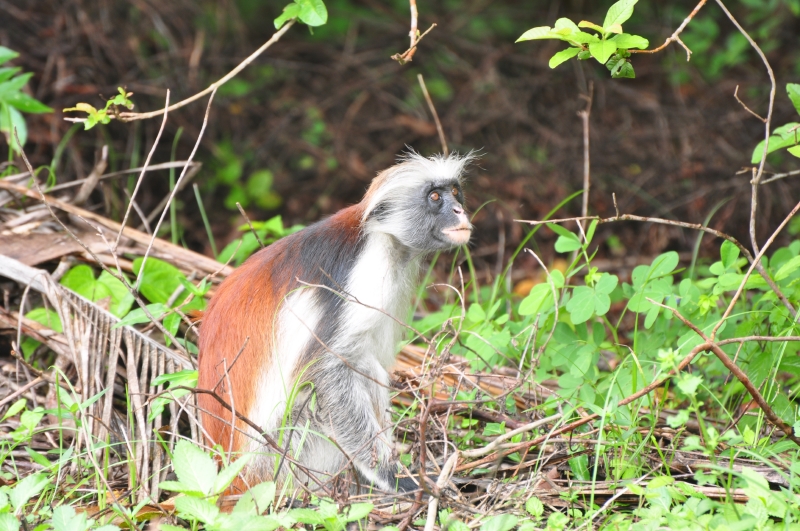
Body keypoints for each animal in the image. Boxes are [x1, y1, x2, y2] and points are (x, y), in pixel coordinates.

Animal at [197, 152, 473, 493]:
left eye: (455, 192)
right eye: (435, 197)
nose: (459, 210)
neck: (373, 231)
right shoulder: (367, 268)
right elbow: (326, 369)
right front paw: (393, 477)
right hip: (289, 453)